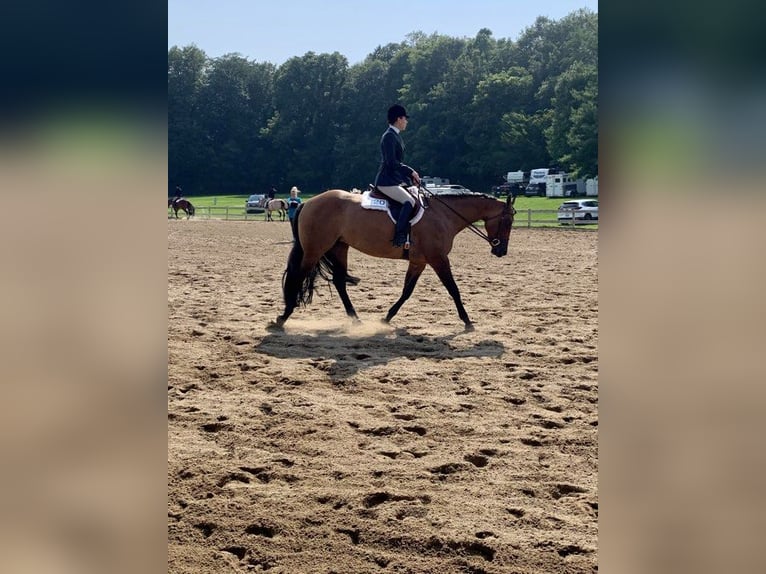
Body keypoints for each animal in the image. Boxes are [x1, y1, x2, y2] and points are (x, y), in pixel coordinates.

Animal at [273, 189, 515, 331]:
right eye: (508, 221)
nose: (501, 251)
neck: (443, 215)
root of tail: (308, 203)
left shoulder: (419, 261)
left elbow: (407, 291)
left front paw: (387, 318)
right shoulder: (438, 259)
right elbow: (453, 289)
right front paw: (467, 321)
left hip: (339, 247)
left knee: (340, 282)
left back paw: (355, 319)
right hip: (315, 249)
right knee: (298, 277)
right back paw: (284, 316)